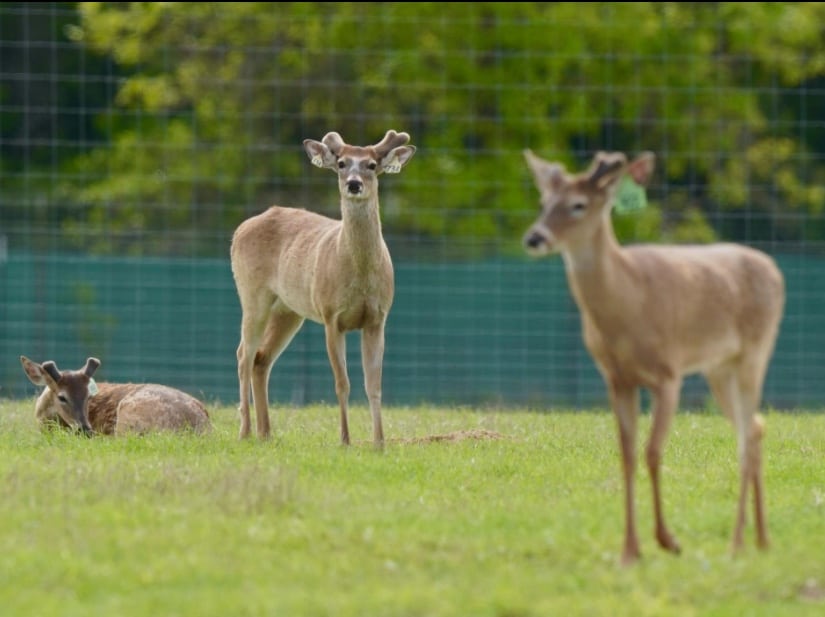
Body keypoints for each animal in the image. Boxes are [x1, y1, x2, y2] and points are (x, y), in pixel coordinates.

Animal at [230, 130, 416, 446]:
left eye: (371, 165)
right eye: (341, 163)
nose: (353, 184)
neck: (359, 276)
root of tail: (240, 229)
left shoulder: (377, 318)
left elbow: (374, 384)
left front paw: (379, 442)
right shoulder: (331, 316)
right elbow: (342, 383)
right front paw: (345, 439)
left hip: (289, 310)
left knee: (261, 358)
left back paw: (266, 433)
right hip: (252, 293)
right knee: (244, 354)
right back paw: (244, 431)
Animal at [521, 149, 785, 566]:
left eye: (578, 204)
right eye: (543, 201)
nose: (534, 237)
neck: (629, 302)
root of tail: (774, 268)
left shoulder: (668, 374)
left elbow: (652, 452)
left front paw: (667, 539)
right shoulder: (617, 379)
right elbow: (627, 454)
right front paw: (630, 549)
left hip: (756, 349)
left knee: (747, 433)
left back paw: (737, 542)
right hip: (718, 368)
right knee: (755, 426)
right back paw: (759, 539)